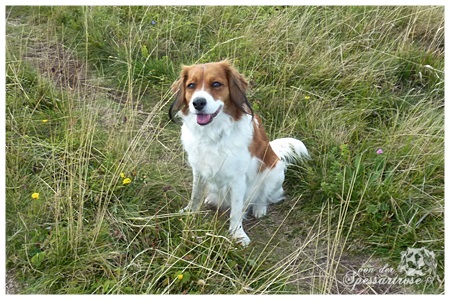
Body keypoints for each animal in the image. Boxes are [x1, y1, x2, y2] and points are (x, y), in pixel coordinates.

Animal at [170, 61, 310, 246]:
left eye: (216, 84)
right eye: (191, 85)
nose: (198, 102)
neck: (213, 134)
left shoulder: (237, 179)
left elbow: (236, 210)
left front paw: (237, 234)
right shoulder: (198, 170)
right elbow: (196, 195)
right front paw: (189, 212)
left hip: (275, 171)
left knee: (265, 197)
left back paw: (259, 208)